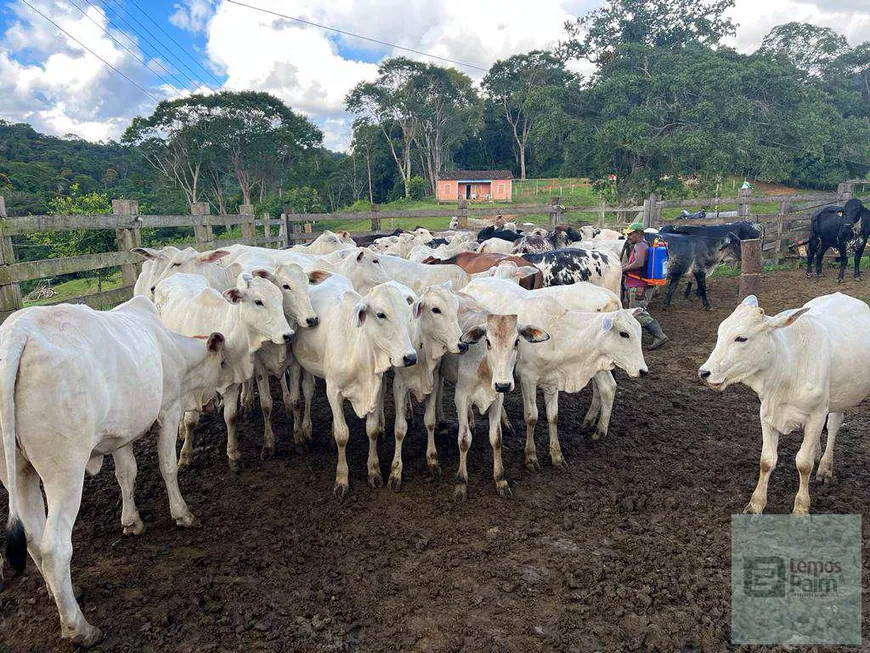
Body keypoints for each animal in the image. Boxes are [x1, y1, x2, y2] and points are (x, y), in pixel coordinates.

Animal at [0, 298, 225, 644]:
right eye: (223, 363)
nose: (215, 402)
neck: (170, 345)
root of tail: (17, 331)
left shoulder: (121, 434)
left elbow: (126, 474)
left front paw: (132, 522)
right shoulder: (168, 411)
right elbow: (167, 467)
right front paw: (182, 514)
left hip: (19, 471)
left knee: (33, 537)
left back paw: (60, 593)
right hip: (65, 471)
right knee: (54, 547)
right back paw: (79, 628)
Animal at [155, 270, 294, 468]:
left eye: (280, 299)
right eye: (258, 301)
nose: (288, 335)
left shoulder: (233, 382)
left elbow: (231, 416)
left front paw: (233, 455)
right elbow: (190, 421)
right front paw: (185, 455)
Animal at [290, 276, 418, 494]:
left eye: (406, 312)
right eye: (381, 314)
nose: (410, 357)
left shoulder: (375, 389)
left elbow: (372, 430)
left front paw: (374, 472)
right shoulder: (333, 391)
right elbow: (342, 434)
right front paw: (341, 479)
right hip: (299, 364)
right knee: (301, 397)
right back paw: (302, 435)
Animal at [464, 280, 648, 468]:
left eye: (639, 332)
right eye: (624, 333)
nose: (643, 370)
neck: (558, 333)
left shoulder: (553, 379)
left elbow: (553, 416)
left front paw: (556, 455)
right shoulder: (527, 377)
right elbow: (531, 417)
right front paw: (531, 456)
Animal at [700, 292, 870, 516]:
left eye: (741, 338)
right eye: (720, 333)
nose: (704, 372)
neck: (787, 368)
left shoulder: (817, 414)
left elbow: (804, 464)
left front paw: (801, 508)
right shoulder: (766, 413)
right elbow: (766, 460)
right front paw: (755, 505)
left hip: (840, 397)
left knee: (833, 425)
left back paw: (825, 467)